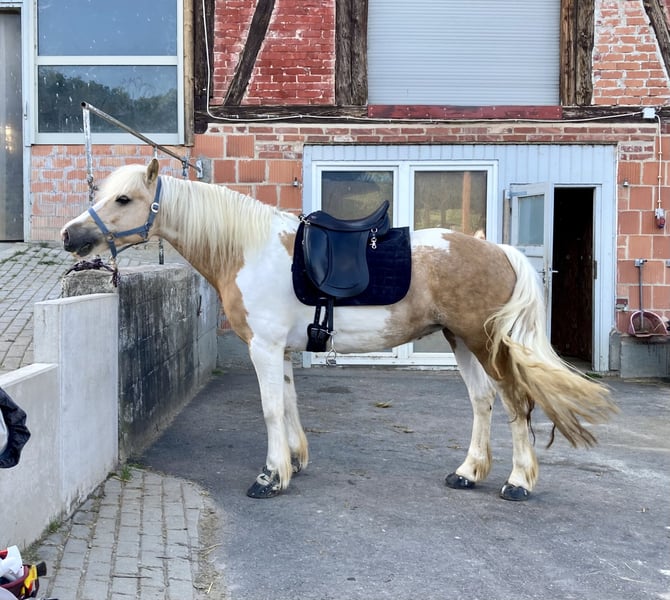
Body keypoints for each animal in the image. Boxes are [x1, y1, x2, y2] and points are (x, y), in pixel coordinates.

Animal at [61, 159, 616, 501]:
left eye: (125, 199)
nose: (70, 237)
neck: (248, 249)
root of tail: (496, 248)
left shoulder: (264, 349)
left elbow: (269, 409)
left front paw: (270, 477)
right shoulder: (282, 351)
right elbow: (287, 404)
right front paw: (293, 461)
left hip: (486, 344)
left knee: (517, 404)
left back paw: (518, 483)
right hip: (460, 341)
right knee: (481, 403)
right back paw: (467, 472)